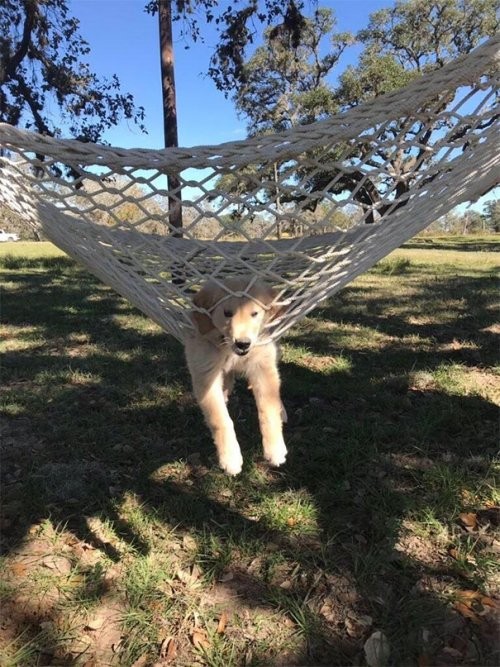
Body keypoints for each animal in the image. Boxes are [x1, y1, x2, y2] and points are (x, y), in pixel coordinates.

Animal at [184, 276, 288, 474]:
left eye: (254, 313)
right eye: (227, 313)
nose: (243, 344)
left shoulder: (263, 366)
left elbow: (268, 410)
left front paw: (276, 449)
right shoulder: (205, 374)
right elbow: (220, 419)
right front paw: (230, 457)